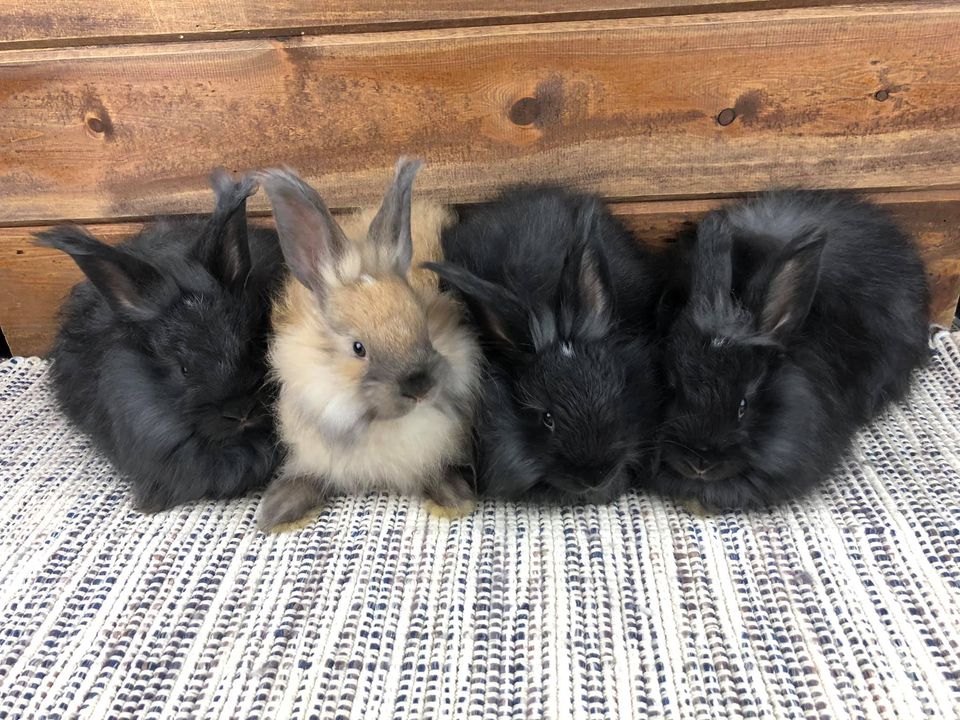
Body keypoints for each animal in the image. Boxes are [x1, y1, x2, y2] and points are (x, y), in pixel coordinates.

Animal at [256, 159, 484, 528]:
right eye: (358, 348)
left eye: (423, 323)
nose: (420, 387)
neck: (379, 425)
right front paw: (277, 512)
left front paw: (454, 498)